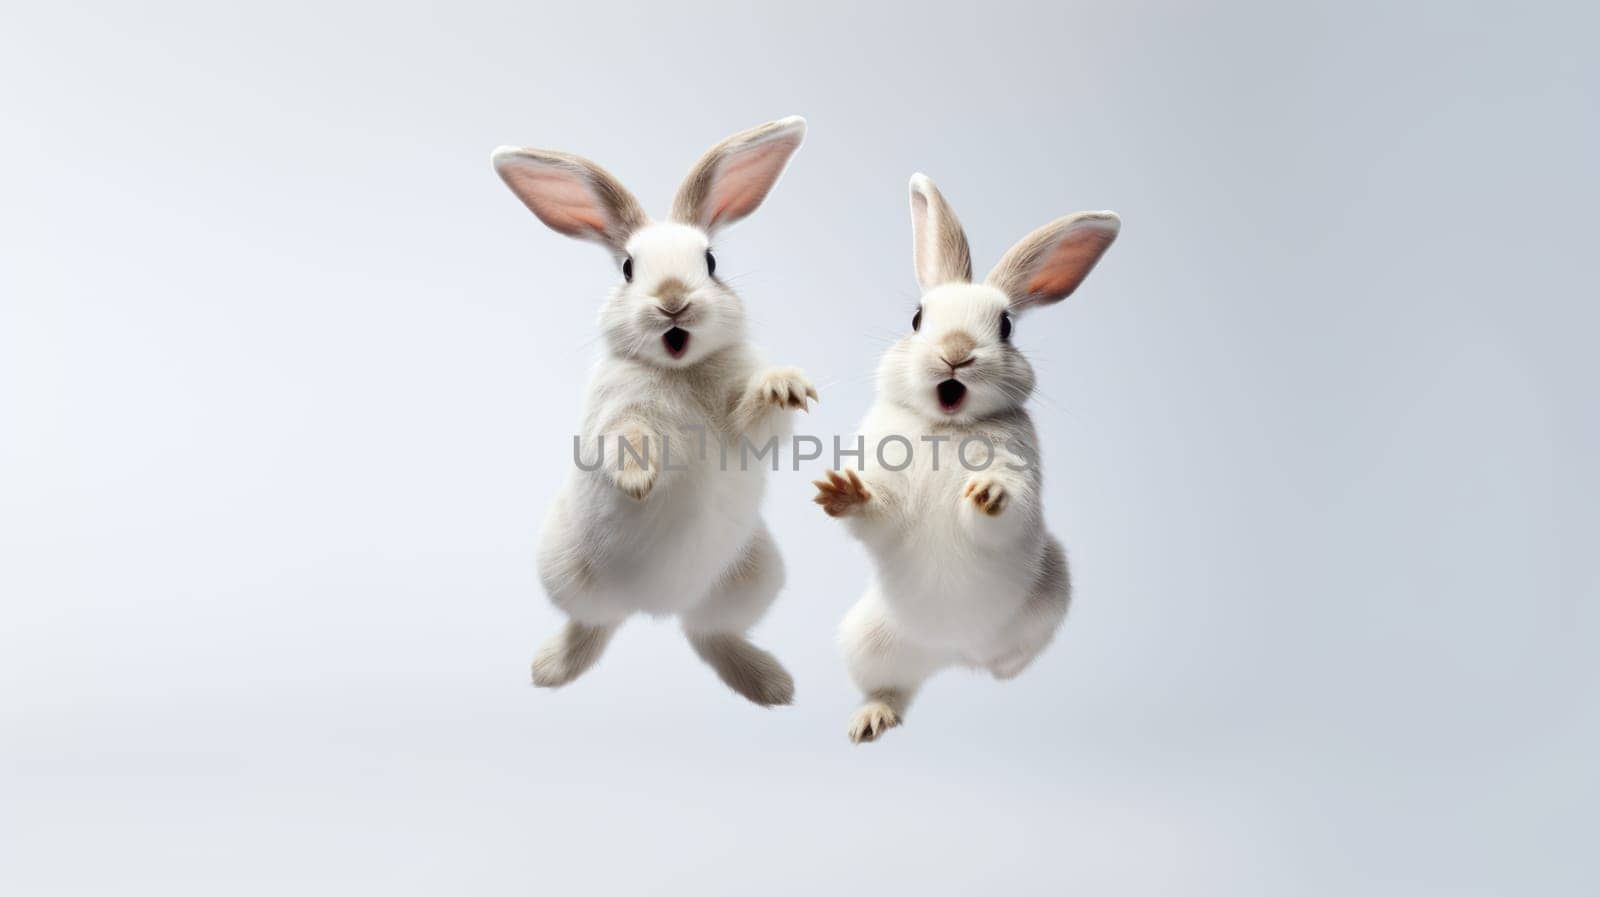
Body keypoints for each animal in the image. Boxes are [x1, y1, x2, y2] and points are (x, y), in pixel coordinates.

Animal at [486, 117, 812, 706]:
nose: (673, 299)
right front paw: (639, 482)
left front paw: (784, 386)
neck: (679, 368)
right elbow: (629, 437)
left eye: (711, 262)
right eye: (628, 268)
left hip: (754, 574)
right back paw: (551, 669)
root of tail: (655, 607)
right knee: (594, 624)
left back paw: (770, 684)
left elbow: (758, 418)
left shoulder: (745, 425)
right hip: (564, 568)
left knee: (709, 633)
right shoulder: (618, 413)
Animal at [812, 171, 1113, 738]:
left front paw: (988, 490)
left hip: (1052, 590)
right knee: (893, 688)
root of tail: (955, 653)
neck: (945, 428)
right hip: (869, 639)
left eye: (1006, 326)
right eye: (916, 318)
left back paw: (1002, 668)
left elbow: (1004, 509)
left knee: (1013, 657)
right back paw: (870, 721)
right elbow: (875, 511)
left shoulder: (1020, 479)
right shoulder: (887, 498)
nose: (956, 351)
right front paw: (841, 490)